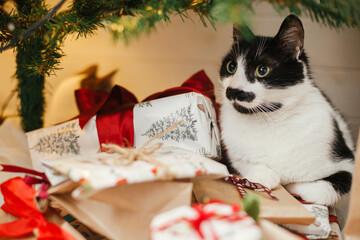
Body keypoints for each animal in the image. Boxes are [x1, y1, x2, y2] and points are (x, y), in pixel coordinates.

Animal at [219, 14, 354, 206]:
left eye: (262, 70)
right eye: (231, 66)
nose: (232, 90)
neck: (270, 120)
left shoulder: (347, 164)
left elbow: (318, 189)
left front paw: (292, 186)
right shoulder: (231, 155)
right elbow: (249, 165)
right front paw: (262, 176)